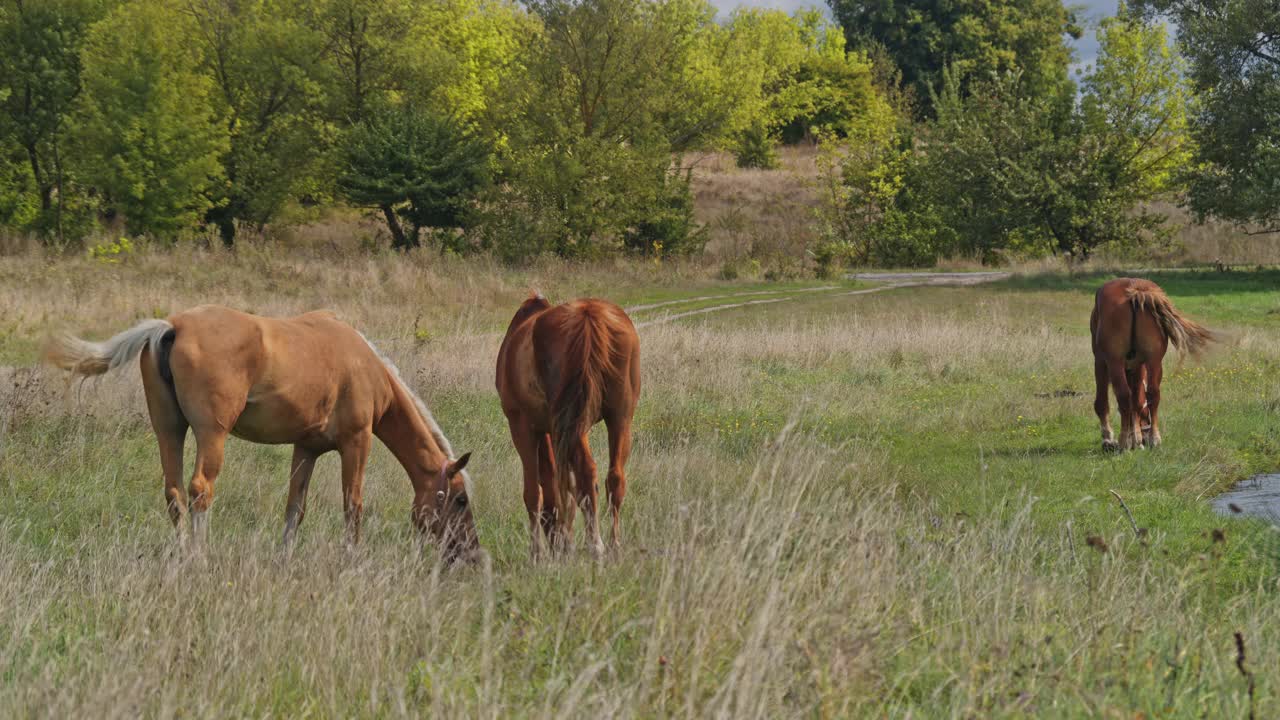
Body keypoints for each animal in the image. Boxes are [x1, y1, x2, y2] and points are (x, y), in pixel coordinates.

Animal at [43, 303, 481, 561]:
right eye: (459, 500)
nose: (470, 554)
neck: (365, 365)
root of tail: (172, 327)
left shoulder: (306, 448)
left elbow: (295, 508)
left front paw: (285, 558)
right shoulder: (357, 443)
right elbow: (353, 505)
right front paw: (351, 559)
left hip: (168, 429)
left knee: (174, 493)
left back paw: (183, 552)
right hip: (211, 434)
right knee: (200, 489)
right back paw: (199, 555)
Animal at [496, 294, 640, 558]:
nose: (559, 546)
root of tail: (588, 314)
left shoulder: (521, 425)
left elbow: (534, 493)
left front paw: (537, 553)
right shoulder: (558, 431)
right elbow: (567, 487)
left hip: (571, 422)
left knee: (586, 472)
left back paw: (595, 544)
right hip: (619, 418)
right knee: (614, 478)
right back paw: (613, 545)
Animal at [1095, 275, 1213, 448]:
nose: (1144, 435)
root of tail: (1137, 290)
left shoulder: (1100, 361)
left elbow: (1103, 402)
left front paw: (1109, 437)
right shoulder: (1138, 366)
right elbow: (1137, 401)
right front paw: (1136, 438)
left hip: (1115, 362)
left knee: (1123, 395)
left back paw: (1123, 442)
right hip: (1154, 361)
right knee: (1153, 393)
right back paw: (1154, 438)